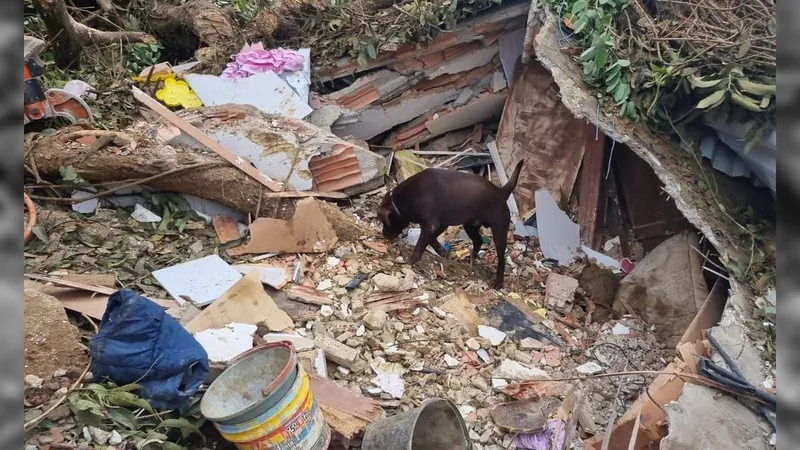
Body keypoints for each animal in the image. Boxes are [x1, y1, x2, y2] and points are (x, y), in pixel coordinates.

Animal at [380, 160, 524, 290]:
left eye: (384, 222)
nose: (383, 234)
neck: (404, 198)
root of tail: (501, 191)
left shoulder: (430, 225)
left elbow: (420, 247)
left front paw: (409, 262)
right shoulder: (440, 224)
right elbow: (432, 239)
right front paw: (441, 251)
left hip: (499, 230)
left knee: (501, 258)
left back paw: (498, 282)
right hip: (470, 226)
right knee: (478, 240)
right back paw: (471, 259)